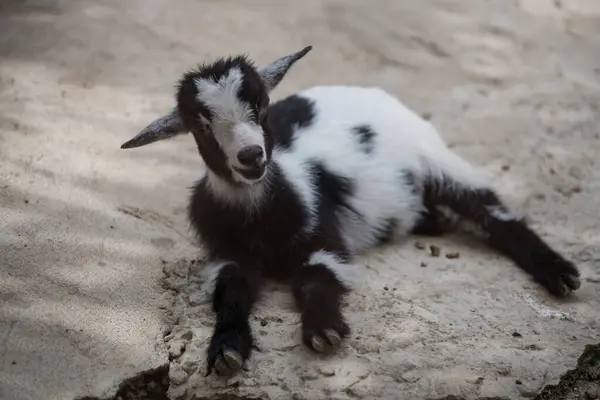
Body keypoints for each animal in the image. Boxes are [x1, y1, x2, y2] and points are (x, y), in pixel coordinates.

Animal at [120, 45, 580, 376]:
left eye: (262, 105)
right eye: (200, 124)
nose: (251, 156)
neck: (259, 216)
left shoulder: (325, 240)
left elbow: (317, 279)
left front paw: (323, 330)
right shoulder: (225, 254)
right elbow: (231, 292)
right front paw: (227, 348)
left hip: (439, 158)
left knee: (495, 214)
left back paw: (560, 274)